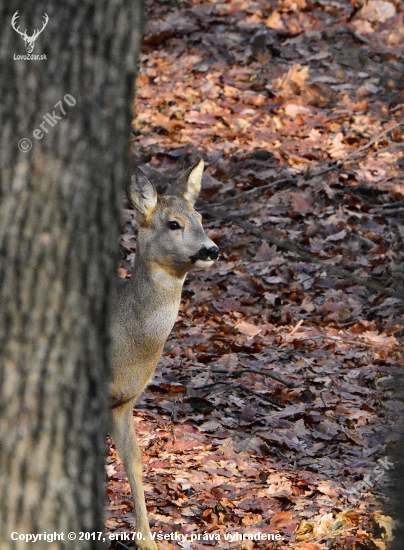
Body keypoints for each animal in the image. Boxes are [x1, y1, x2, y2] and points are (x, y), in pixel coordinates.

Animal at [109, 161, 218, 550]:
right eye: (174, 224)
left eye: (200, 217)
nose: (212, 249)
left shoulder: (124, 401)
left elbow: (134, 461)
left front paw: (146, 540)